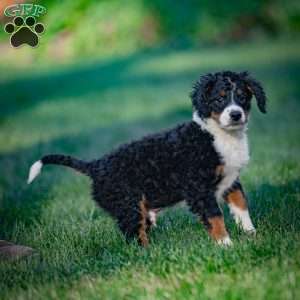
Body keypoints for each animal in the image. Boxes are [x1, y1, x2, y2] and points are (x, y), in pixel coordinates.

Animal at [28, 70, 266, 246]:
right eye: (219, 99)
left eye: (243, 97)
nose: (235, 114)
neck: (218, 135)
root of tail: (96, 165)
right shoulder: (199, 189)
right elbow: (214, 216)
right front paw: (226, 244)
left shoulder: (230, 180)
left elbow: (241, 205)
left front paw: (251, 233)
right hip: (128, 205)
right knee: (134, 236)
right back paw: (147, 255)